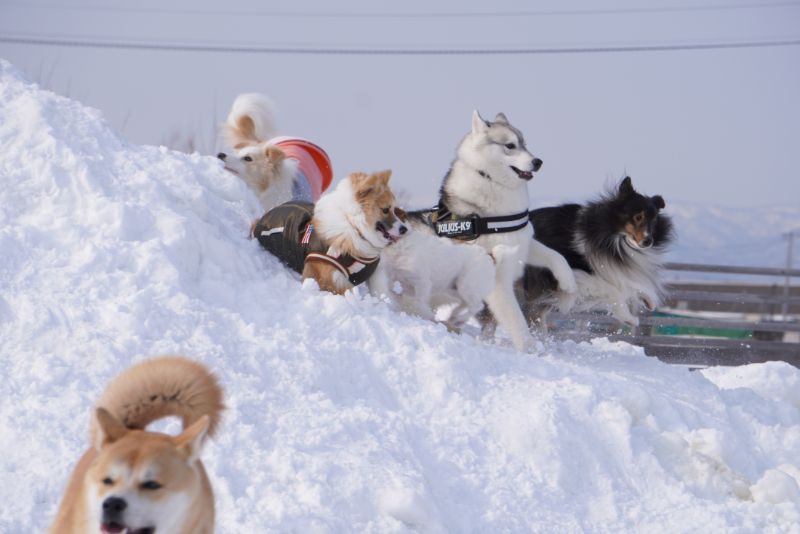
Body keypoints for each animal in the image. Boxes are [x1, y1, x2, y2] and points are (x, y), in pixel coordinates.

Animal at [412, 111, 576, 350]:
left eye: (525, 144)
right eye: (510, 145)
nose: (538, 162)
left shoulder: (522, 242)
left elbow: (555, 255)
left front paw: (569, 283)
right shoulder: (497, 281)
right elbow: (516, 320)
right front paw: (532, 350)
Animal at [524, 178, 676, 326]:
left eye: (654, 219)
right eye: (638, 217)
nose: (648, 241)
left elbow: (625, 283)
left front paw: (648, 300)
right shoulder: (571, 274)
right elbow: (615, 289)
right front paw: (629, 318)